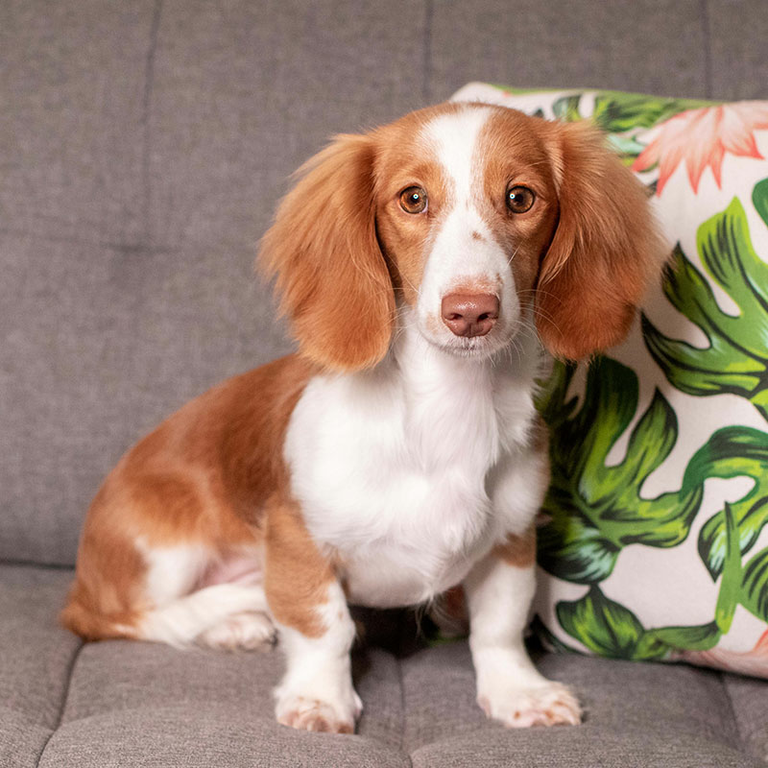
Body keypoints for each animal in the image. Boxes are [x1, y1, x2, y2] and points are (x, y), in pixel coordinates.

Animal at [63, 100, 664, 732]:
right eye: (413, 198)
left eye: (520, 198)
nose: (470, 312)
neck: (447, 414)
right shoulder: (297, 536)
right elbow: (324, 624)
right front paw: (318, 697)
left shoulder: (512, 539)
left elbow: (500, 627)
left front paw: (518, 691)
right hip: (163, 551)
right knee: (118, 616)